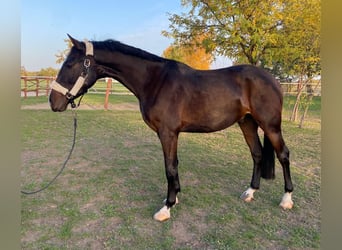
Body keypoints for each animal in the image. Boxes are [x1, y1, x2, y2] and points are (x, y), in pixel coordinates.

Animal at [49, 35, 292, 221]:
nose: (53, 101)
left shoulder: (167, 133)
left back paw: (287, 199)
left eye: (70, 65)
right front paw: (174, 198)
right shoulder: (171, 134)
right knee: (257, 154)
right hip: (247, 122)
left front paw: (166, 207)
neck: (155, 80)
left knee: (283, 155)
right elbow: (174, 164)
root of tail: (272, 80)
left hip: (270, 125)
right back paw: (250, 192)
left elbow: (170, 167)